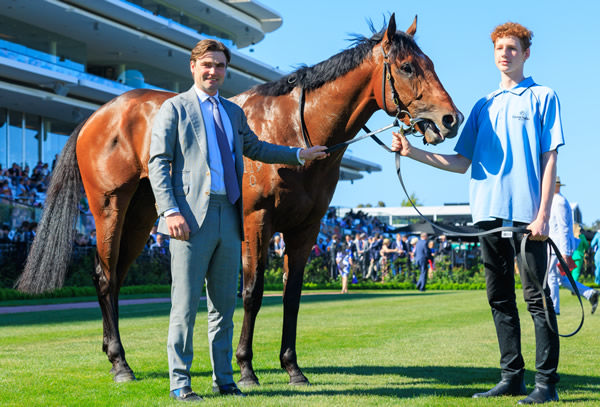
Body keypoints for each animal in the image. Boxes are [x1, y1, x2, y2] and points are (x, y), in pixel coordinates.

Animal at [16, 15, 462, 386]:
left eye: (430, 63)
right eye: (407, 67)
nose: (450, 120)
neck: (293, 126)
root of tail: (96, 115)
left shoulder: (307, 228)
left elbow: (292, 295)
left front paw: (292, 367)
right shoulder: (255, 221)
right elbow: (252, 292)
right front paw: (246, 367)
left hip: (142, 215)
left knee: (116, 276)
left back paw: (116, 356)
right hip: (109, 207)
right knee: (105, 276)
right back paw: (121, 363)